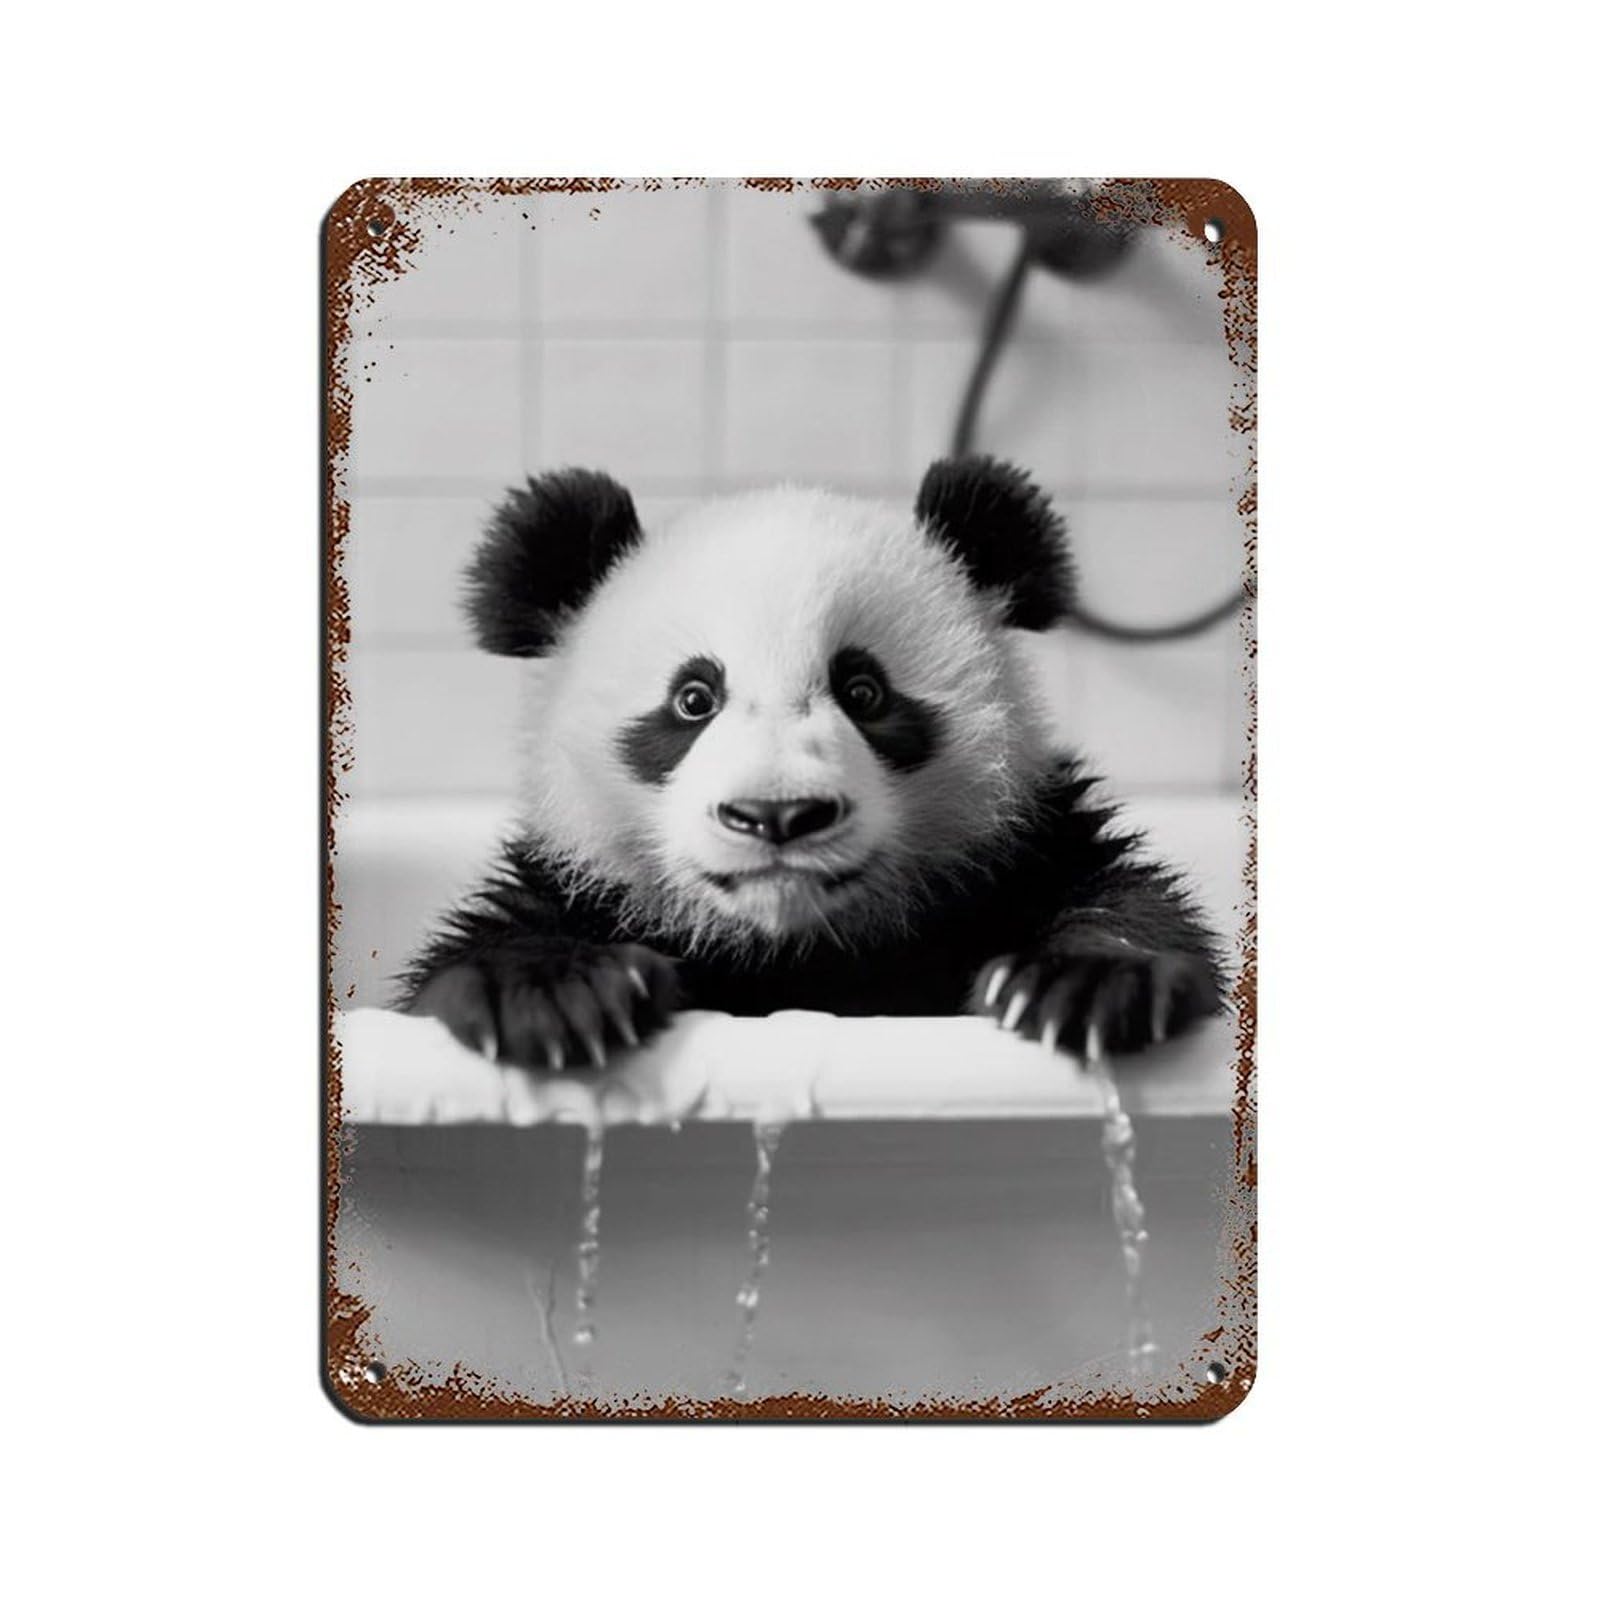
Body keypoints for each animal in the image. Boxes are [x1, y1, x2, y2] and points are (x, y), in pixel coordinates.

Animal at [401, 455, 1224, 1070]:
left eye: (864, 691)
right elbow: (493, 947)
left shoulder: (1020, 853)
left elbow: (1124, 902)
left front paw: (1086, 986)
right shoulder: (581, 887)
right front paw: (552, 994)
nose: (778, 815)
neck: (796, 950)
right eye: (693, 699)